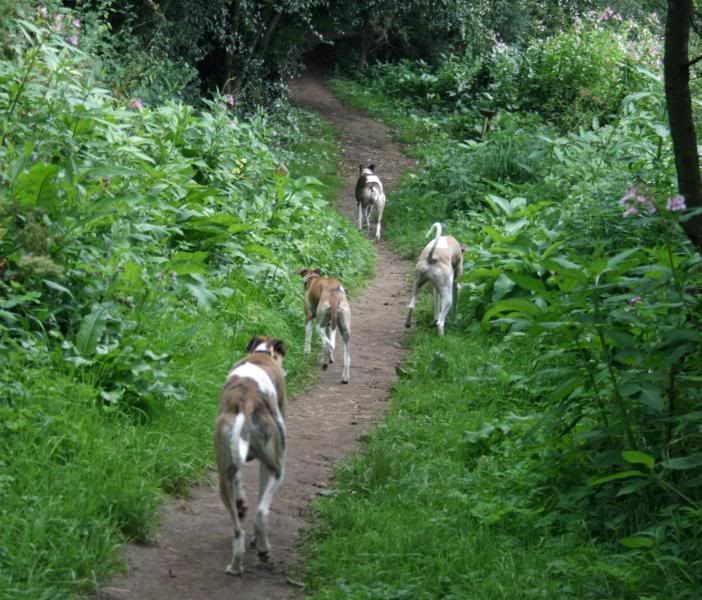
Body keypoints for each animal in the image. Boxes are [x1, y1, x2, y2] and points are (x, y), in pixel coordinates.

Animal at [217, 336, 288, 576]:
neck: (262, 353)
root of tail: (245, 401)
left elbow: (240, 481)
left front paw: (241, 502)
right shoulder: (266, 466)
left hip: (223, 478)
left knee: (238, 531)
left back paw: (235, 566)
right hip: (277, 469)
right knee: (261, 513)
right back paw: (263, 549)